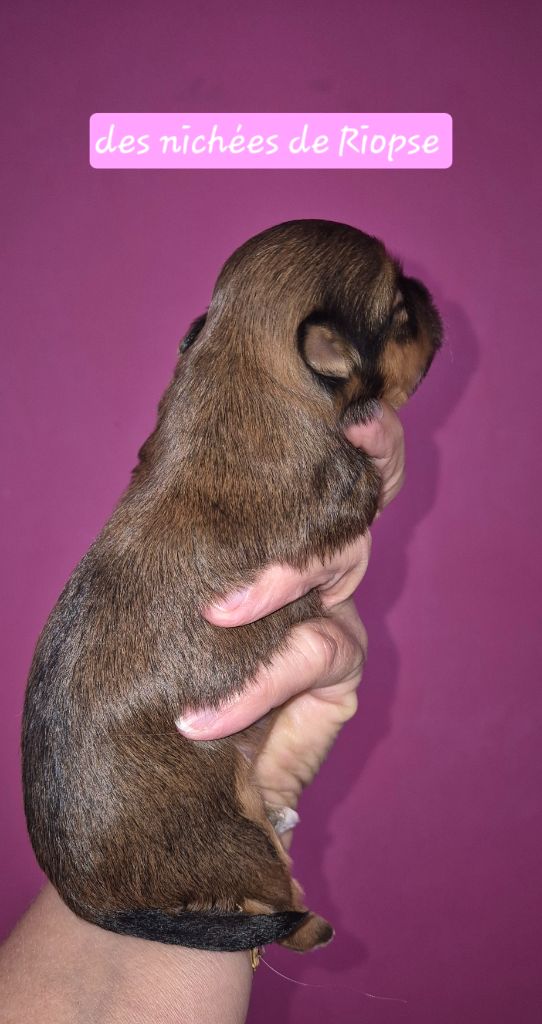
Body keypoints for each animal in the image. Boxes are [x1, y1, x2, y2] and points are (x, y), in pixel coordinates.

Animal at [22, 219, 442, 953]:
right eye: (399, 312)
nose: (429, 295)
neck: (236, 358)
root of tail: (87, 897)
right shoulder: (343, 483)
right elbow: (362, 486)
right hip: (228, 836)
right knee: (273, 904)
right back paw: (308, 919)